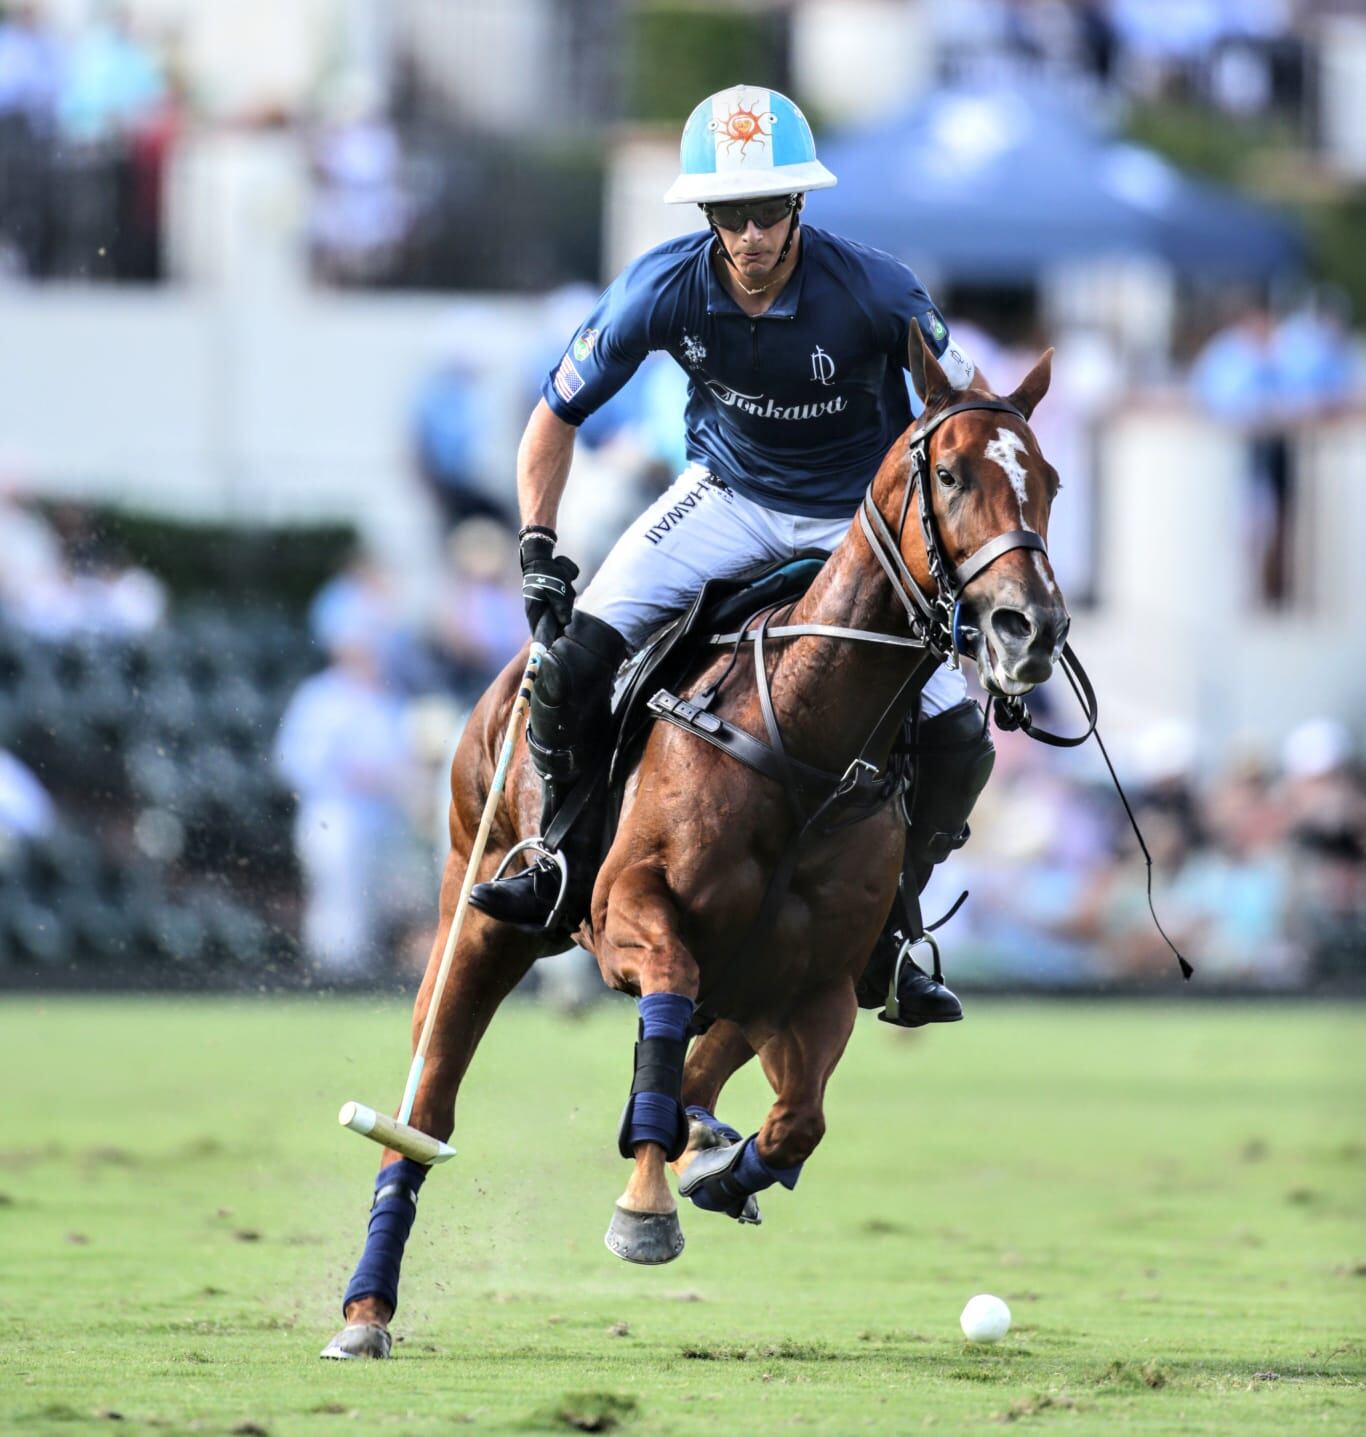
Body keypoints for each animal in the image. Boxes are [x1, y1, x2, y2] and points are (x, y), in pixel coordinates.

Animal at [328, 333, 1068, 1356]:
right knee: (425, 1105)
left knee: (708, 1064)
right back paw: (366, 1308)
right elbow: (666, 1018)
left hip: (750, 975)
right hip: (476, 907)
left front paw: (718, 1171)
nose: (1030, 628)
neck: (805, 738)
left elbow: (797, 1120)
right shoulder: (631, 916)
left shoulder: (818, 981)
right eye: (951, 474)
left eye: (1053, 481)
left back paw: (707, 1138)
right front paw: (647, 1208)